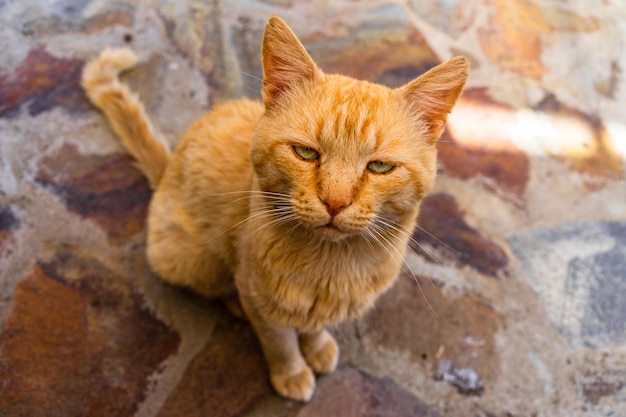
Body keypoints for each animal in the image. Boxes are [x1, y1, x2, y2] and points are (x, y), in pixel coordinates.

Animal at [80, 15, 466, 400]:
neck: (330, 267)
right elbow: (280, 342)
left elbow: (313, 327)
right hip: (189, 259)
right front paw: (292, 373)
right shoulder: (264, 303)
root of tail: (167, 169)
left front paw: (317, 346)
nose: (334, 202)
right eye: (306, 152)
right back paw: (234, 302)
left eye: (380, 167)